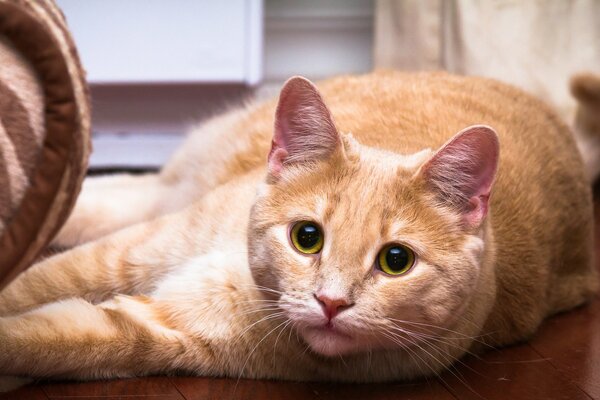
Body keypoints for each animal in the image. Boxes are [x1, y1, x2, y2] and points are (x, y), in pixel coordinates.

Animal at [1, 69, 600, 388]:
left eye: (396, 261)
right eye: (306, 237)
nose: (331, 303)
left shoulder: (157, 329)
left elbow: (45, 340)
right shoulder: (125, 255)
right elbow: (34, 285)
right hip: (170, 199)